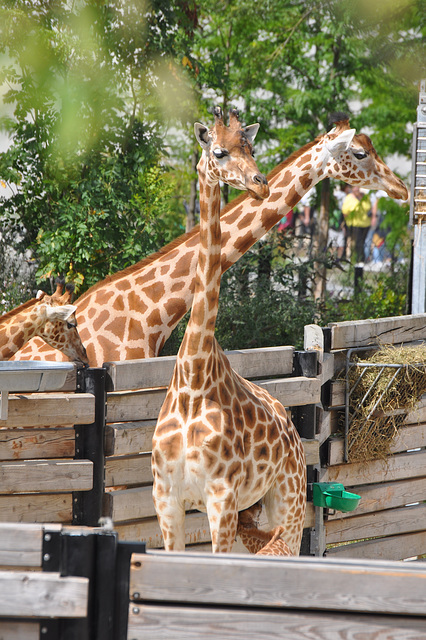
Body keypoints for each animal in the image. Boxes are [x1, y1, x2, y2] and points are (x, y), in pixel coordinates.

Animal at [150, 109, 306, 556]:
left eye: (251, 148)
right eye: (218, 151)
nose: (261, 183)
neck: (193, 380)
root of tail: (293, 429)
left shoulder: (220, 498)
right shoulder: (166, 498)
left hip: (288, 500)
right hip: (250, 511)